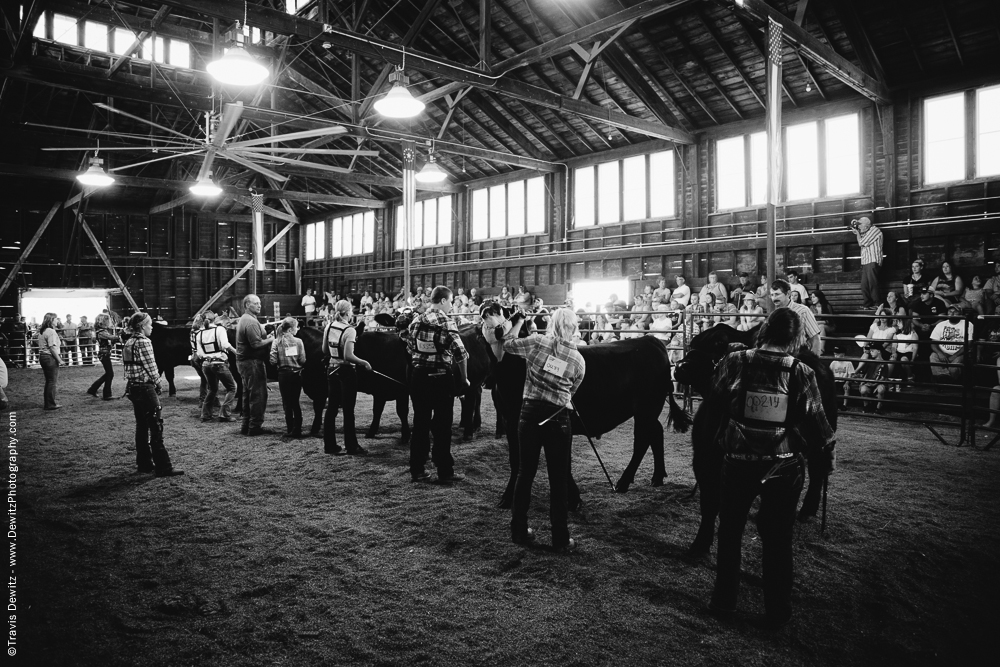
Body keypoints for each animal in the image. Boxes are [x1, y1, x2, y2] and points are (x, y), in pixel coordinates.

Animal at [482, 308, 688, 512]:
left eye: (505, 310)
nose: (488, 306)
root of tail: (650, 340)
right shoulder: (510, 421)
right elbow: (515, 460)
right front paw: (507, 498)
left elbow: (560, 462)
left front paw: (573, 499)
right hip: (649, 410)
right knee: (656, 432)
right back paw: (657, 476)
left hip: (647, 408)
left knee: (642, 441)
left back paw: (623, 482)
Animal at [676, 324, 840, 560]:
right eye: (695, 342)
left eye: (718, 344)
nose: (681, 366)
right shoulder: (703, 458)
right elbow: (709, 503)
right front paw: (700, 544)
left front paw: (700, 544)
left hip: (821, 438)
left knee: (818, 471)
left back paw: (808, 510)